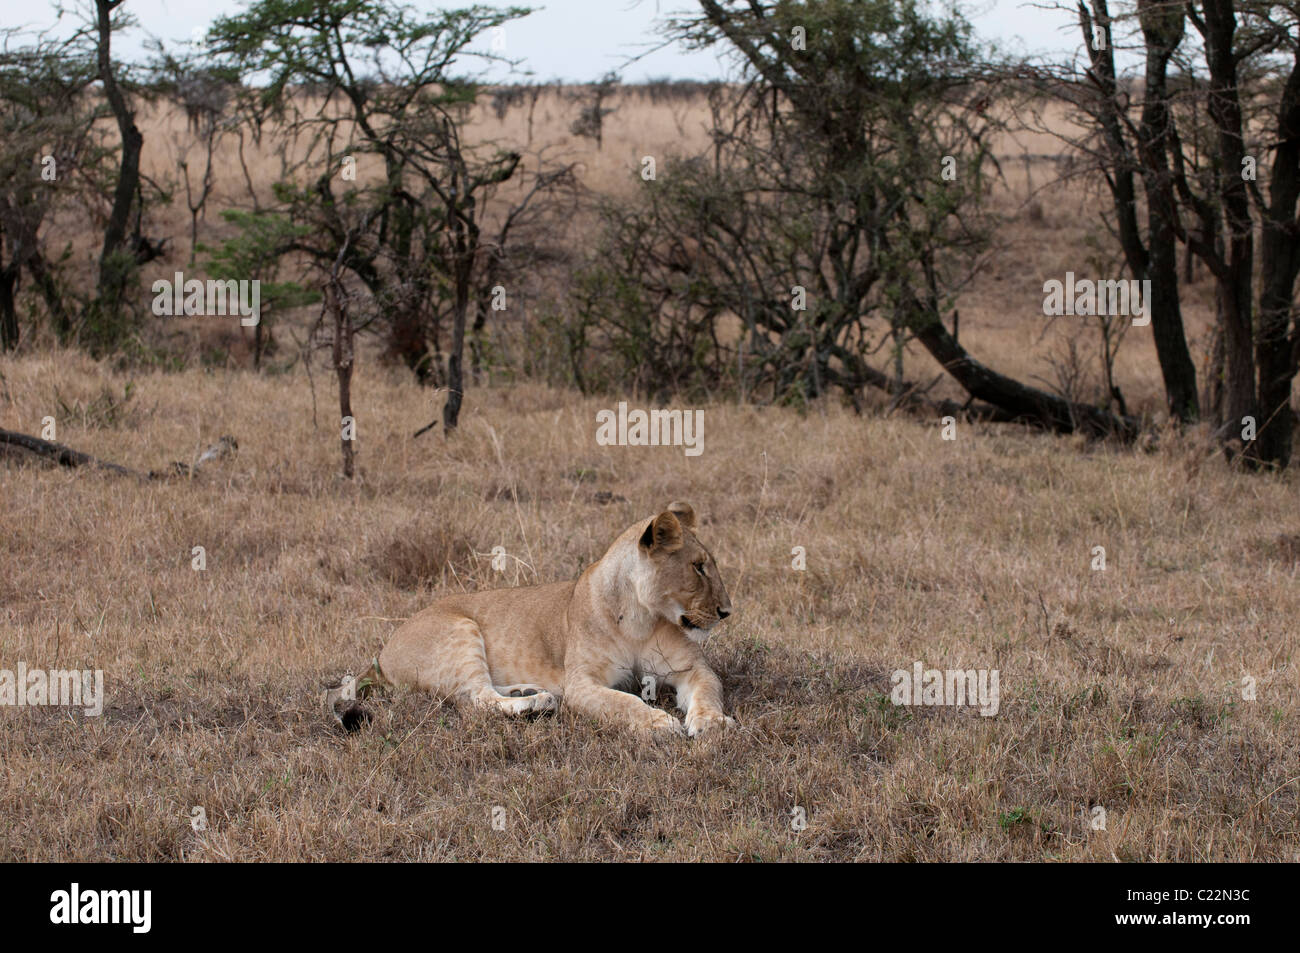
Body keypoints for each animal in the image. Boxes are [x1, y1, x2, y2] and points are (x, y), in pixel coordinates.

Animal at [334, 502, 735, 736]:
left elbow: (708, 692)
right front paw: (656, 721)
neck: (640, 619)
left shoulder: (691, 668)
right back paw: (538, 705)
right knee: (477, 701)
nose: (727, 611)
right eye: (698, 567)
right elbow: (625, 702)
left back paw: (528, 693)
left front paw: (712, 723)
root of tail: (381, 654)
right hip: (459, 630)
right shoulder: (581, 684)